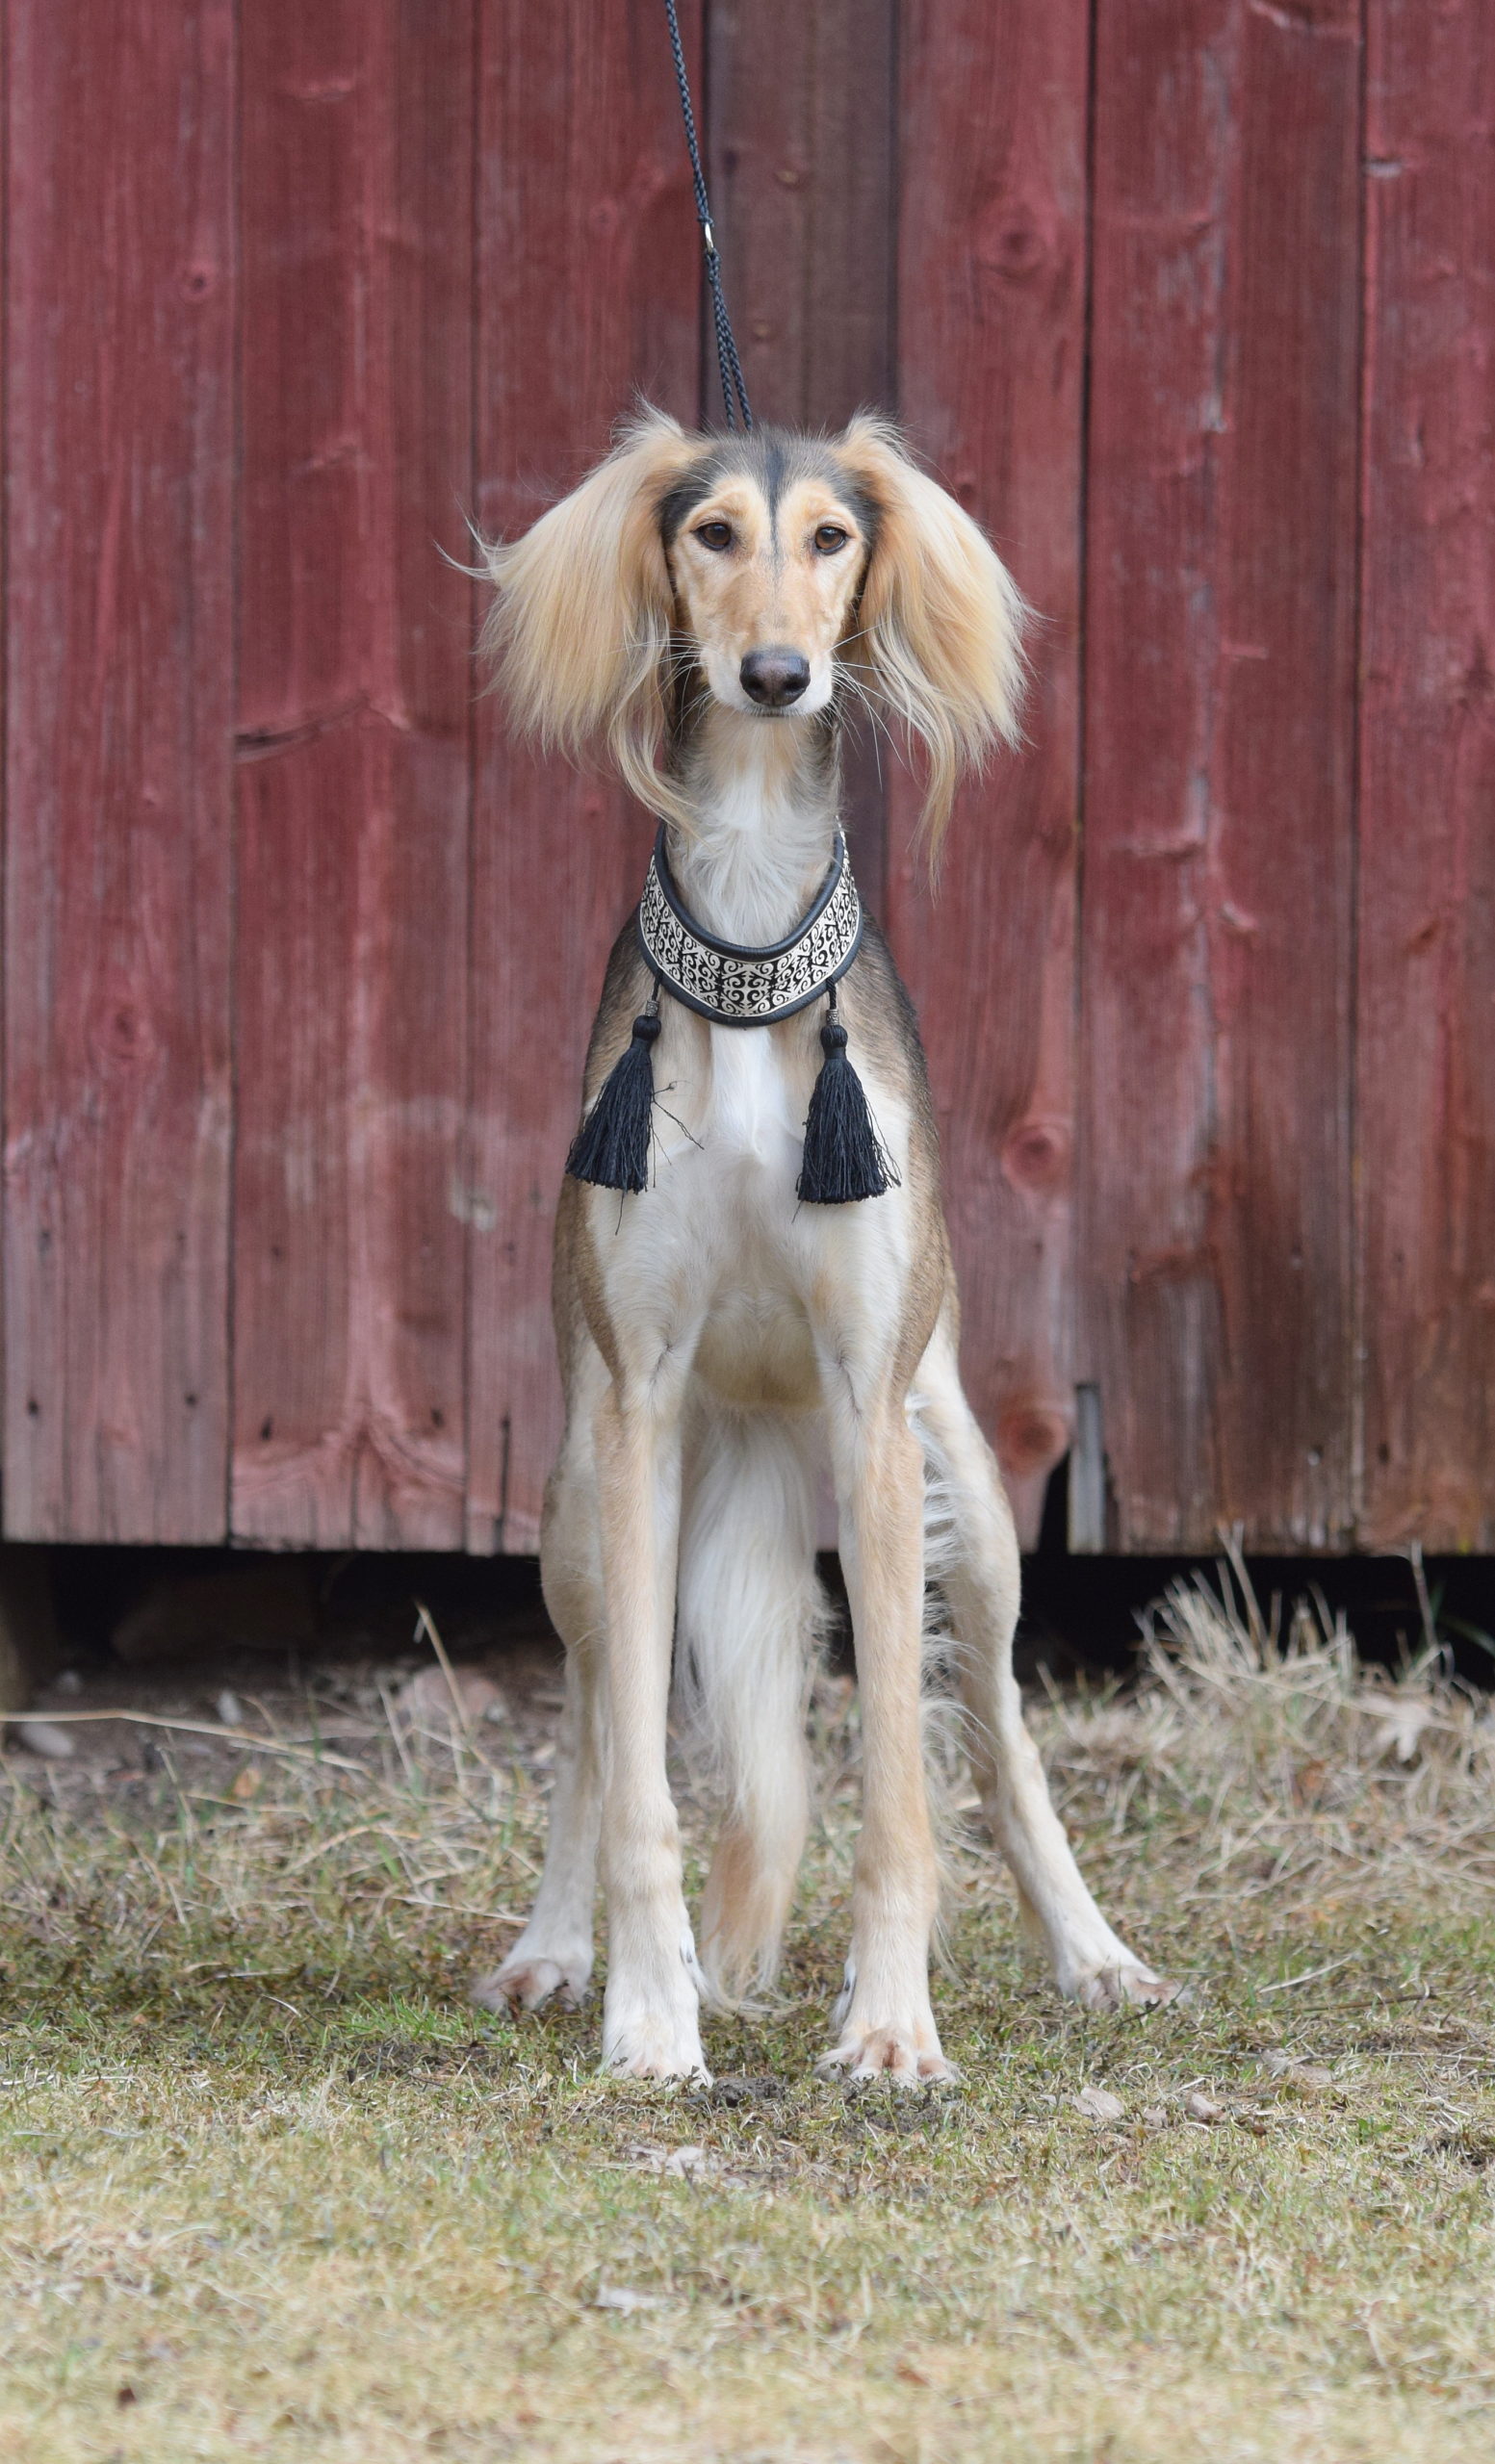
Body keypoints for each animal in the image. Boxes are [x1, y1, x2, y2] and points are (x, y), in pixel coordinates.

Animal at [474, 411, 1168, 2080]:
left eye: (833, 539)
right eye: (712, 532)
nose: (777, 674)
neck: (740, 926)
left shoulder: (868, 1405)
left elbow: (908, 1787)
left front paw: (892, 2032)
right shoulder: (639, 1398)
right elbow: (637, 1784)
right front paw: (651, 2018)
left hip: (968, 1497)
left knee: (1000, 1734)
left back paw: (1093, 1952)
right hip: (583, 1503)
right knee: (591, 1718)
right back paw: (552, 1949)